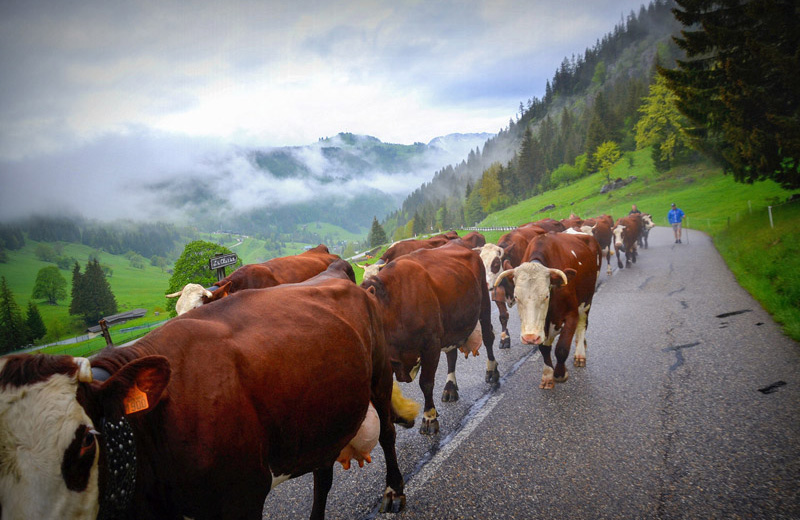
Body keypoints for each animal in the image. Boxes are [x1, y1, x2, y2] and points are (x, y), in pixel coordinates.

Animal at [0, 278, 416, 516]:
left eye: (86, 441)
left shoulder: (242, 497)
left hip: (379, 376)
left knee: (387, 434)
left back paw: (393, 490)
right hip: (320, 415)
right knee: (323, 473)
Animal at [360, 243, 496, 434]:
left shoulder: (430, 344)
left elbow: (426, 382)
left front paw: (429, 417)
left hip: (484, 302)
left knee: (488, 337)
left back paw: (492, 371)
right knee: (451, 354)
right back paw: (450, 387)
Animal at [494, 233, 600, 390]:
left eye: (546, 296)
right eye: (516, 297)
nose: (529, 338)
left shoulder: (572, 314)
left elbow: (562, 348)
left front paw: (560, 374)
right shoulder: (540, 327)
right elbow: (544, 348)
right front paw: (548, 375)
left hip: (587, 301)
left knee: (582, 326)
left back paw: (580, 354)